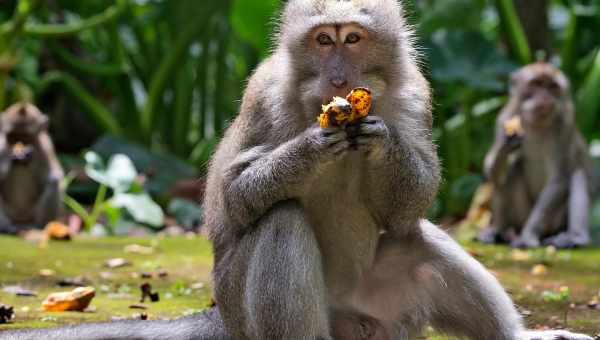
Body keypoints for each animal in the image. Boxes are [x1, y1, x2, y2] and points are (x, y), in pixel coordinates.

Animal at [0, 101, 63, 234]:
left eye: (26, 137)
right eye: (12, 136)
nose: (18, 143)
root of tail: (20, 219)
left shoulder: (45, 146)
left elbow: (53, 175)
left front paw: (26, 156)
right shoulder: (1, 144)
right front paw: (12, 156)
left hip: (32, 212)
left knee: (53, 181)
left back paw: (40, 225)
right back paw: (5, 226)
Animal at [478, 62, 596, 248]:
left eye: (552, 87)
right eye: (536, 84)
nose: (545, 98)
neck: (536, 123)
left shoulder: (565, 124)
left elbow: (559, 179)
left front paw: (528, 236)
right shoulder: (504, 117)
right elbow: (491, 170)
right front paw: (507, 143)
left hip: (555, 223)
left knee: (578, 174)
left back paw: (575, 236)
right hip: (520, 217)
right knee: (510, 171)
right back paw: (498, 230)